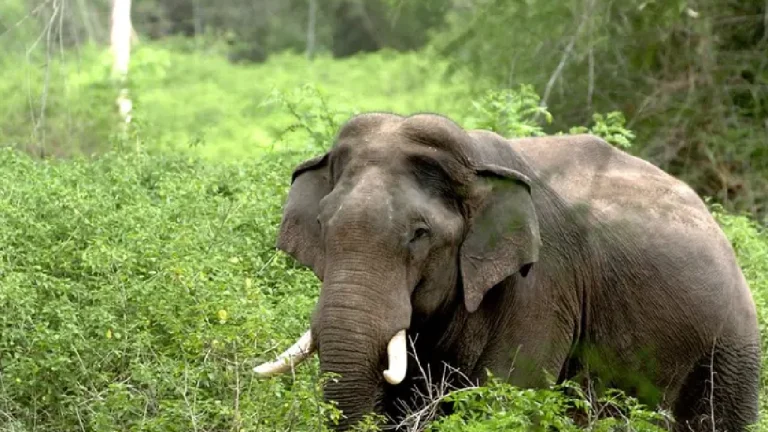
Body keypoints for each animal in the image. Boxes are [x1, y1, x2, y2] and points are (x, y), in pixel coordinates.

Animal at [253, 112, 761, 431]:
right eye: (323, 224)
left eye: (420, 234)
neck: (476, 165)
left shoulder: (542, 287)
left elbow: (506, 398)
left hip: (732, 347)